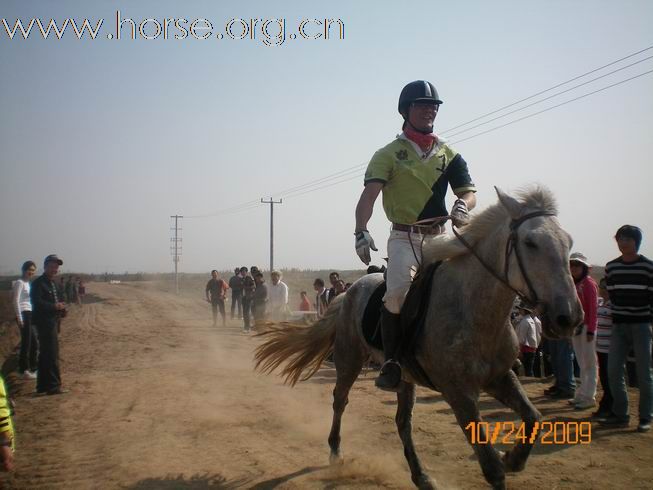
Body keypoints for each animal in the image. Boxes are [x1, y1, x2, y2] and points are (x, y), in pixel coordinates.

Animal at [253, 186, 580, 488]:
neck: (473, 308)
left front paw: (512, 457)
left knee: (402, 423)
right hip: (349, 359)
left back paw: (420, 475)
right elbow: (491, 467)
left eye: (569, 242)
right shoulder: (459, 393)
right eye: (530, 242)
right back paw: (335, 450)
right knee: (340, 400)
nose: (569, 318)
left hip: (404, 378)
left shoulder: (500, 377)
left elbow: (533, 417)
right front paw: (503, 461)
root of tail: (349, 291)